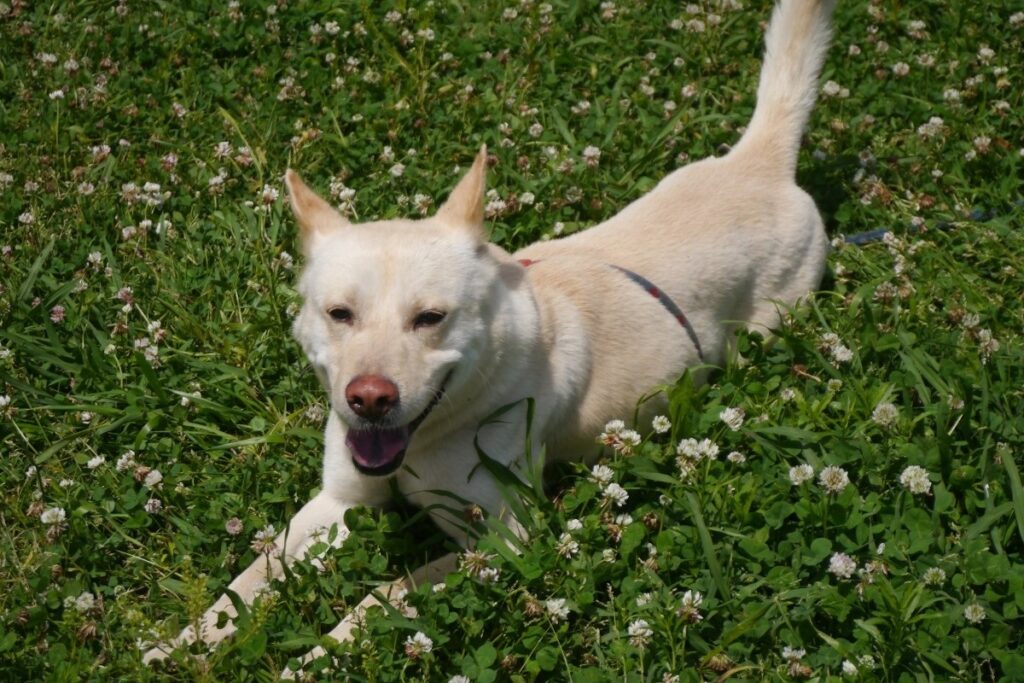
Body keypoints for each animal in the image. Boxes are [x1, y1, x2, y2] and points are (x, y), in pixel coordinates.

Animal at [144, 0, 831, 671]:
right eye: (340, 314)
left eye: (430, 318)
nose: (369, 399)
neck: (433, 433)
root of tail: (759, 162)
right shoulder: (337, 501)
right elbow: (252, 574)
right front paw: (184, 641)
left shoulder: (503, 539)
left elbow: (384, 595)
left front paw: (322, 654)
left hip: (772, 323)